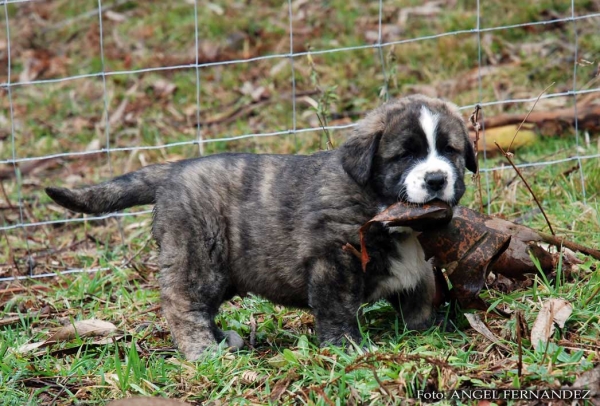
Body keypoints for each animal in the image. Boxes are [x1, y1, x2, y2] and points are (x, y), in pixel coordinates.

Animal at [45, 96, 478, 362]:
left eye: (450, 150)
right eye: (405, 155)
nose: (437, 179)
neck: (381, 204)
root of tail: (173, 171)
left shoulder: (416, 264)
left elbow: (419, 295)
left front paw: (427, 328)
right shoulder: (333, 260)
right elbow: (337, 309)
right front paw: (346, 348)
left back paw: (222, 340)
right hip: (198, 255)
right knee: (183, 304)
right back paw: (203, 351)